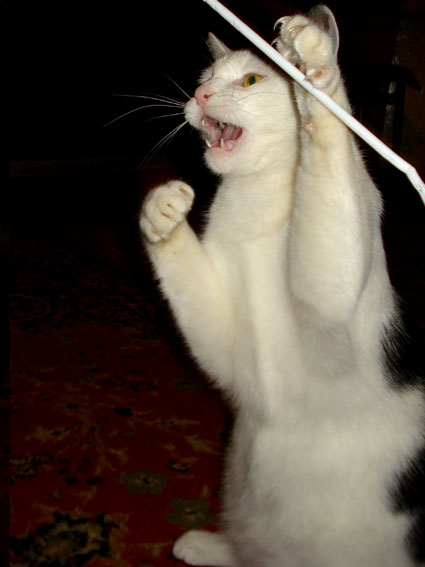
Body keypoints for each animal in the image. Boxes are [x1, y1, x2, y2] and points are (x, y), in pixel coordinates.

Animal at [139, 6, 425, 567]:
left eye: (251, 80)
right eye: (206, 76)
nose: (200, 95)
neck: (257, 199)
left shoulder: (330, 292)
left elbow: (331, 156)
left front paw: (314, 65)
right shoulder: (227, 347)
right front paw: (161, 212)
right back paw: (205, 544)